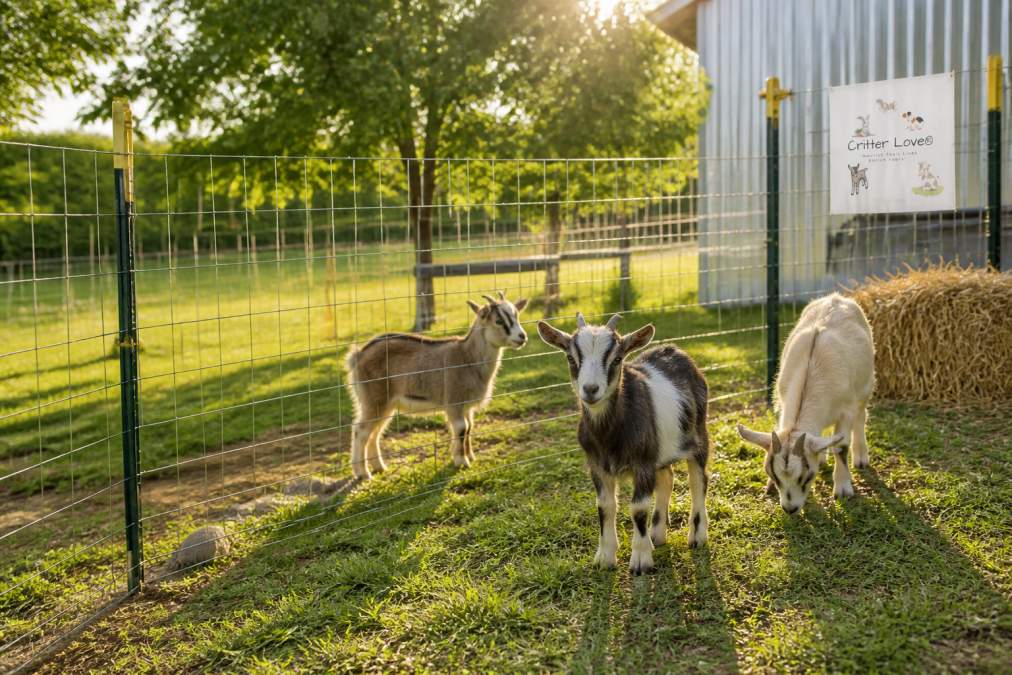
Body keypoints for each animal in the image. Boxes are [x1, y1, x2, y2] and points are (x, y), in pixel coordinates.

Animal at [346, 292, 528, 479]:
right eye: (499, 320)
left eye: (516, 315)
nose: (522, 337)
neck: (467, 357)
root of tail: (357, 356)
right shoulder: (453, 401)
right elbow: (461, 428)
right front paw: (462, 462)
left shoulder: (466, 406)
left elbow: (469, 428)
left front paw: (469, 456)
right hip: (374, 399)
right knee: (361, 431)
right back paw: (363, 473)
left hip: (386, 404)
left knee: (375, 432)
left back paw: (379, 467)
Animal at [538, 313, 710, 574]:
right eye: (570, 357)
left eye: (617, 358)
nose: (590, 389)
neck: (609, 435)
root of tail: (678, 352)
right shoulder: (597, 465)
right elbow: (605, 506)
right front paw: (605, 557)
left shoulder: (642, 463)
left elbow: (638, 508)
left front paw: (640, 560)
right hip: (660, 450)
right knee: (667, 479)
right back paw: (657, 535)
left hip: (698, 435)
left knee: (698, 481)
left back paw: (697, 536)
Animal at [738, 293, 874, 514]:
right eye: (773, 474)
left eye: (807, 476)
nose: (790, 508)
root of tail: (836, 297)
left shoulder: (846, 409)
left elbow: (841, 446)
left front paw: (843, 488)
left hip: (866, 386)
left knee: (861, 416)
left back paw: (861, 457)